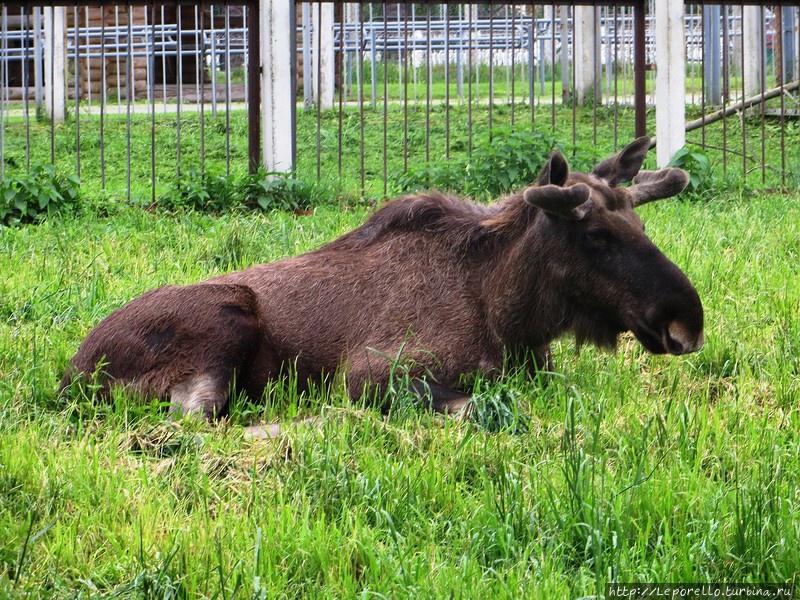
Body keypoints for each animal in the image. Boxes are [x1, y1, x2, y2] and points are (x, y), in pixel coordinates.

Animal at [61, 137, 700, 418]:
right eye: (596, 237)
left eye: (640, 221)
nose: (686, 322)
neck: (506, 311)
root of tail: (71, 375)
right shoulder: (372, 371)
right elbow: (480, 406)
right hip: (226, 321)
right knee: (191, 419)